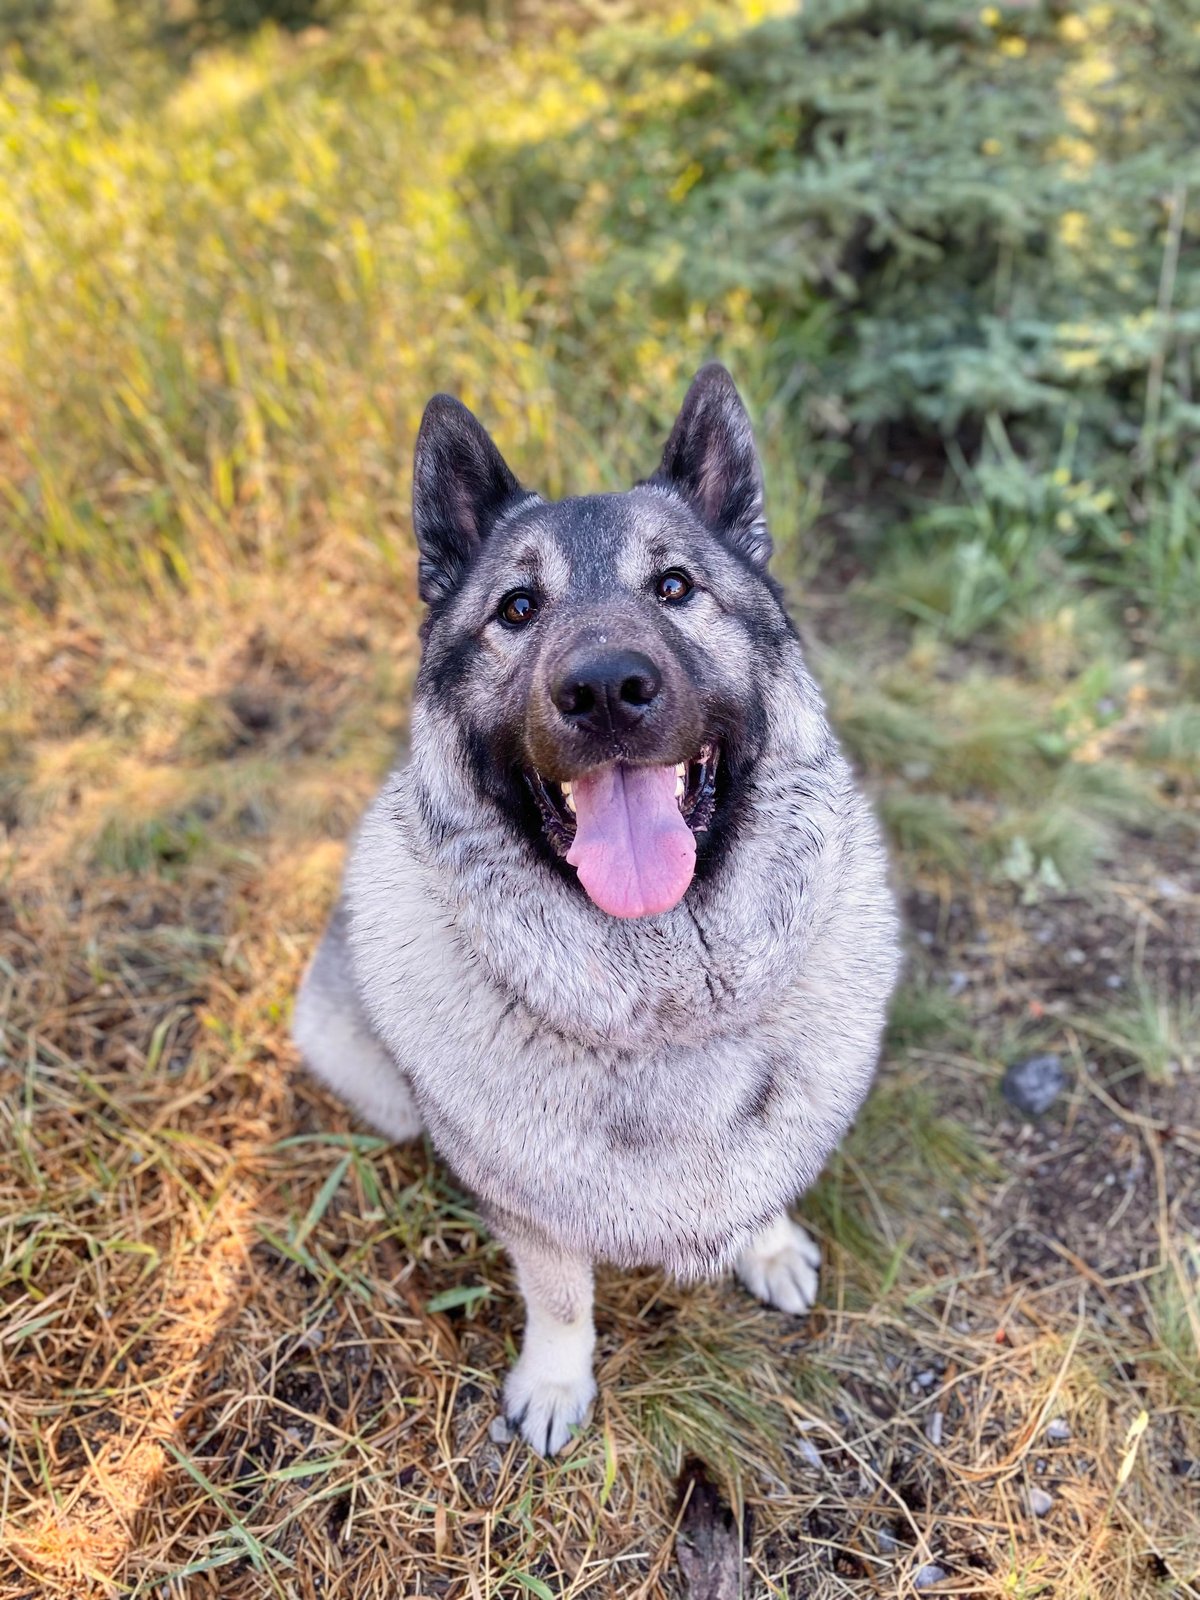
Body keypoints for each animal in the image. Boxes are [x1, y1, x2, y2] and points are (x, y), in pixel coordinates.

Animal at [296, 368, 902, 1459]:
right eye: (517, 608)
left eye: (675, 588)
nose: (608, 688)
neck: (664, 1010)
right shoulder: (534, 1221)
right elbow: (562, 1297)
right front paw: (555, 1382)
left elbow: (763, 1188)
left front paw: (768, 1246)